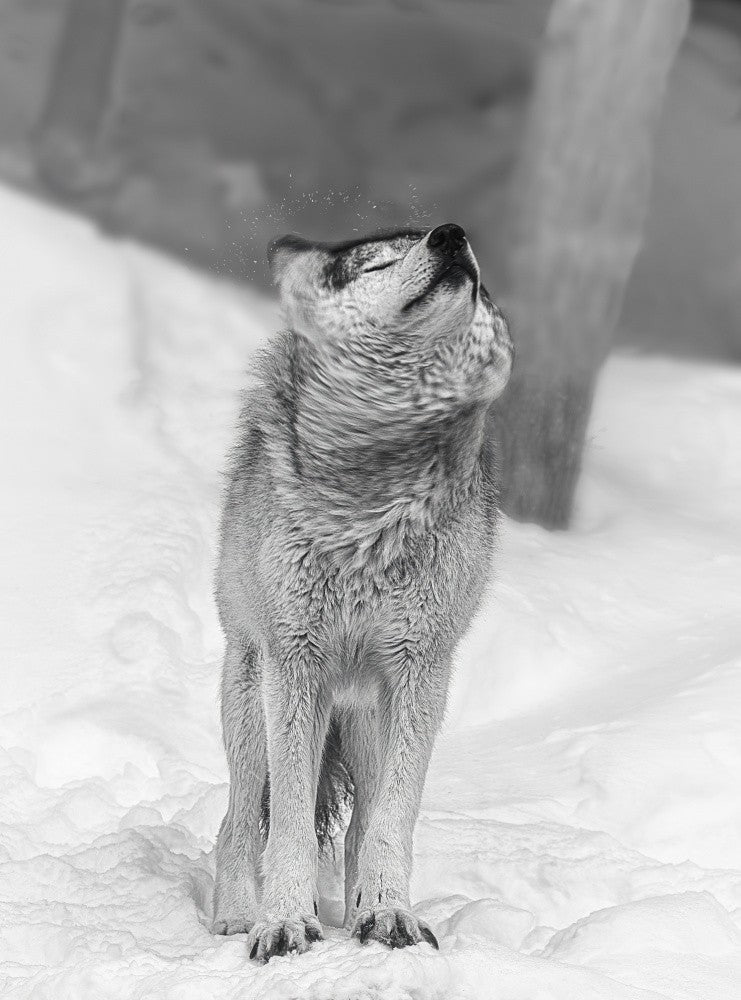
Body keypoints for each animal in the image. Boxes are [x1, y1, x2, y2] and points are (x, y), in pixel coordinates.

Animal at [212, 222, 513, 962]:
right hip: (252, 700)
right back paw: (235, 918)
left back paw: (360, 914)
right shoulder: (295, 664)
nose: (452, 235)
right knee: (237, 824)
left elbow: (389, 823)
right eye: (378, 261)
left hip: (371, 714)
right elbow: (290, 824)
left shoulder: (420, 671)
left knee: (357, 826)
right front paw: (283, 924)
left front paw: (389, 916)